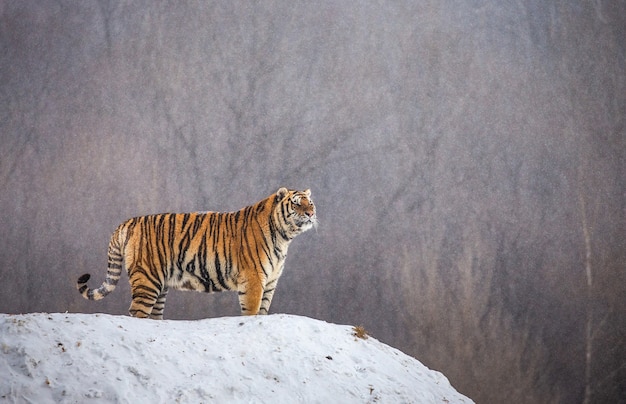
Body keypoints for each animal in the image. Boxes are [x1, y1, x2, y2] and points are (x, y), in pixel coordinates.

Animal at [75, 189, 314, 318]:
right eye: (296, 204)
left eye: (310, 203)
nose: (311, 214)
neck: (284, 238)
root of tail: (127, 222)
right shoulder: (254, 279)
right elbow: (252, 310)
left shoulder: (270, 281)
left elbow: (263, 310)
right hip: (147, 279)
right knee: (137, 312)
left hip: (159, 285)